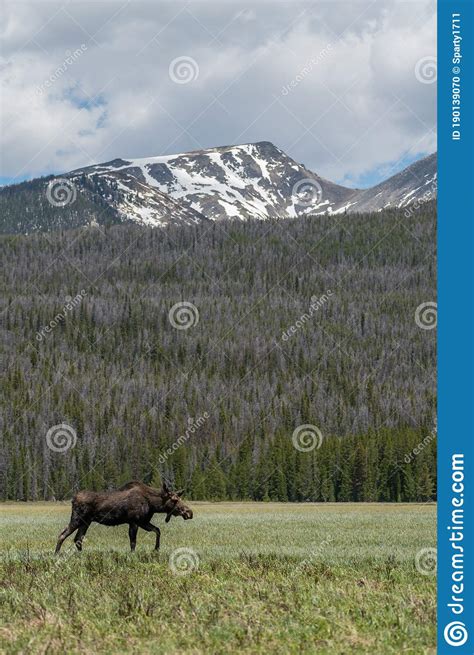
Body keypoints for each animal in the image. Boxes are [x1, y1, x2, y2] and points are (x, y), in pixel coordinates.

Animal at [56, 482, 194, 552]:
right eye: (175, 500)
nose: (189, 512)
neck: (153, 504)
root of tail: (73, 499)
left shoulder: (143, 522)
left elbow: (157, 530)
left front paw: (156, 549)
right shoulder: (134, 521)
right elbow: (133, 542)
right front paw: (133, 556)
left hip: (86, 522)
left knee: (77, 539)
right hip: (77, 519)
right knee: (62, 534)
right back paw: (56, 555)